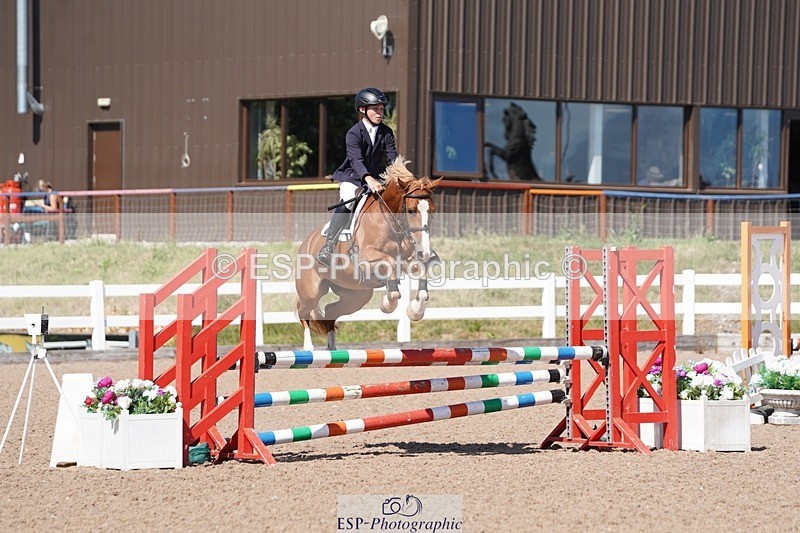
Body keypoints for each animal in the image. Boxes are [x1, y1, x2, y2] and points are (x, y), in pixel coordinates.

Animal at [295, 157, 442, 350]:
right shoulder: (367, 259)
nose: (425, 252)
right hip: (312, 291)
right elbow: (391, 268)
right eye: (410, 211)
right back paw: (308, 347)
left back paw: (332, 348)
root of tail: (305, 242)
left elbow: (421, 280)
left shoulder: (409, 260)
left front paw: (415, 311)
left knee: (330, 311)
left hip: (356, 295)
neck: (391, 222)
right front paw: (387, 304)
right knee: (302, 310)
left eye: (432, 211)